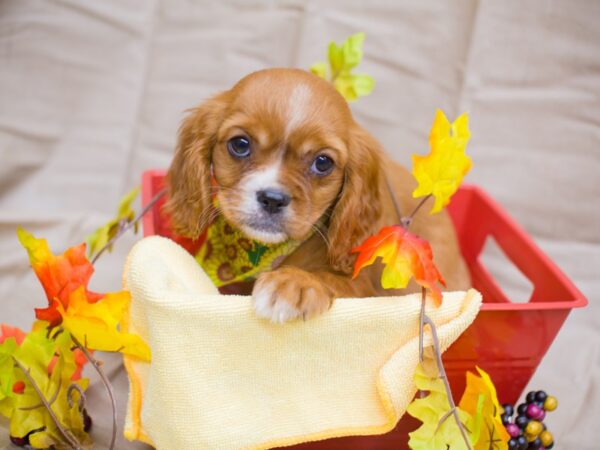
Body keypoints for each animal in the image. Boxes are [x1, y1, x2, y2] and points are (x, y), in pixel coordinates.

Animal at [166, 68, 472, 322]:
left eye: (322, 163)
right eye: (240, 144)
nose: (273, 199)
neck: (264, 252)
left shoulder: (365, 290)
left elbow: (332, 280)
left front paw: (294, 284)